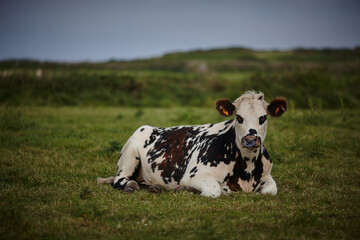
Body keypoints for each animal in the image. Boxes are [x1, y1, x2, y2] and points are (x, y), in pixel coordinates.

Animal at [97, 91, 286, 198]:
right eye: (239, 117)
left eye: (263, 117)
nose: (250, 139)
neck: (246, 168)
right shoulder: (195, 174)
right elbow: (216, 190)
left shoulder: (267, 176)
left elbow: (271, 190)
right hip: (129, 157)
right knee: (120, 179)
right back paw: (131, 186)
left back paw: (153, 187)